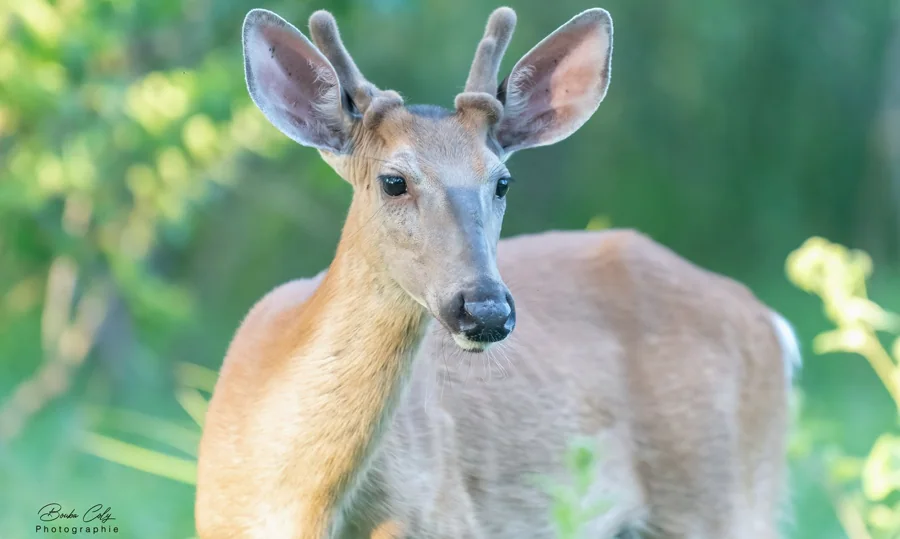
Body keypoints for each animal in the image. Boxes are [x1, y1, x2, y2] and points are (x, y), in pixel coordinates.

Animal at [195, 5, 801, 539]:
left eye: (502, 181)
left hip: (728, 493)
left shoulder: (447, 522)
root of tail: (767, 321)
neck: (300, 503)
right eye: (393, 181)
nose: (484, 307)